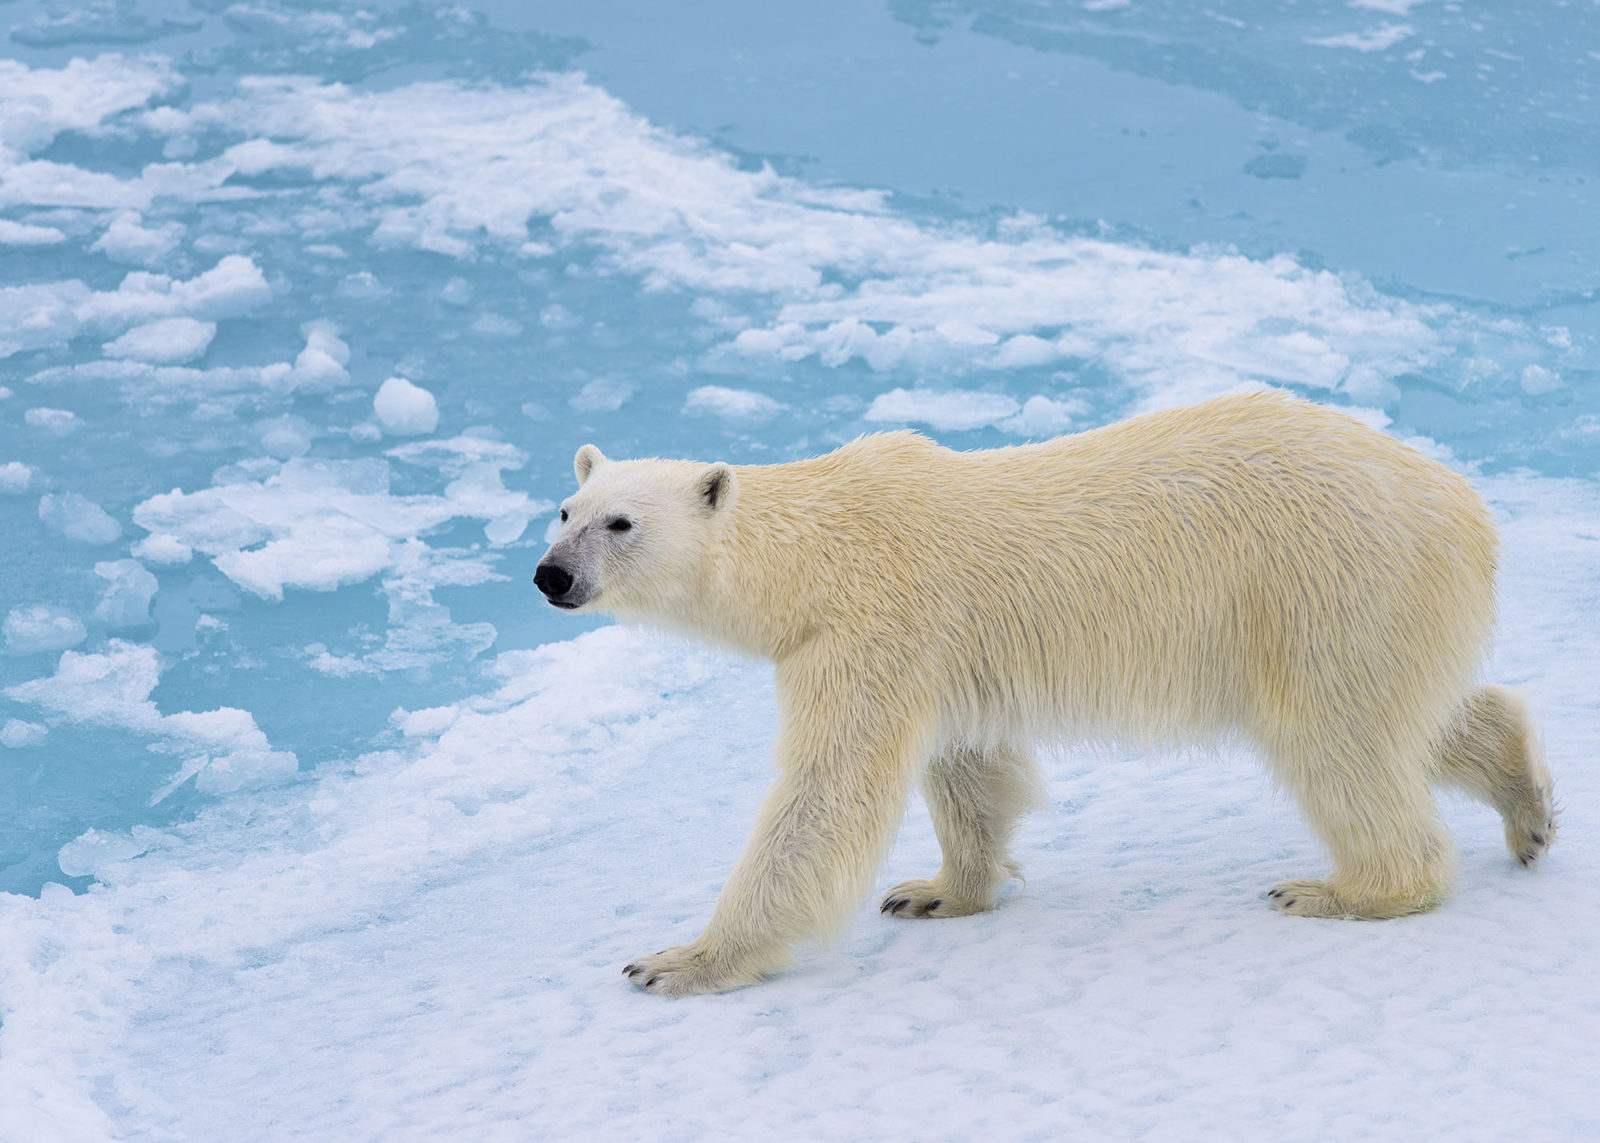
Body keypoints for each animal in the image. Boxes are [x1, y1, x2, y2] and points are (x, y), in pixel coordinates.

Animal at [534, 389, 1548, 986]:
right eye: (565, 508)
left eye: (621, 523)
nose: (550, 575)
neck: (821, 552)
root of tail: (1464, 504)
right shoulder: (938, 652)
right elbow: (968, 767)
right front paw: (937, 891)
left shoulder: (870, 629)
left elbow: (826, 796)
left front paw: (683, 958)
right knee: (1413, 712)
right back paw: (1526, 802)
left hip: (1326, 581)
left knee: (1335, 734)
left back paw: (1341, 888)